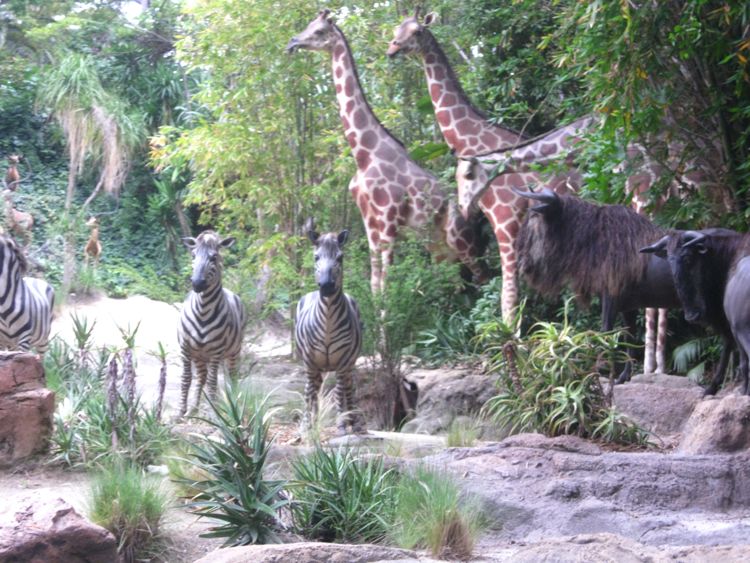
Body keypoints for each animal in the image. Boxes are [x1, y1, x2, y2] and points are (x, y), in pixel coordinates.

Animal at [176, 230, 247, 418]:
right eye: (193, 255)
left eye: (214, 257)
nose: (197, 283)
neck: (202, 310)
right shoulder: (185, 349)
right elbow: (186, 379)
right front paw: (181, 411)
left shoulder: (216, 351)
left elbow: (213, 382)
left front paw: (213, 414)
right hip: (200, 355)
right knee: (201, 377)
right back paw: (193, 409)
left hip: (233, 351)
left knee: (232, 375)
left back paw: (232, 404)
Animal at [284, 9, 490, 296]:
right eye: (308, 25)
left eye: (319, 31)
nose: (292, 42)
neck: (364, 153)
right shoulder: (370, 223)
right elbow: (374, 282)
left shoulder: (389, 220)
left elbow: (387, 282)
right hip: (439, 247)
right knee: (456, 284)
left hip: (462, 240)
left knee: (484, 278)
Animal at [296, 228, 366, 436]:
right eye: (316, 257)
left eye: (340, 258)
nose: (326, 286)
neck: (327, 321)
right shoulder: (310, 362)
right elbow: (311, 393)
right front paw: (308, 427)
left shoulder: (342, 362)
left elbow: (338, 393)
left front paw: (342, 425)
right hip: (312, 365)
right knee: (310, 389)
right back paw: (309, 422)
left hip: (349, 363)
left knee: (348, 388)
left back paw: (355, 423)